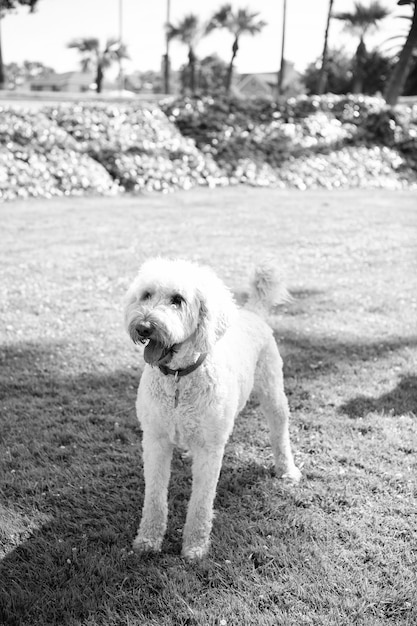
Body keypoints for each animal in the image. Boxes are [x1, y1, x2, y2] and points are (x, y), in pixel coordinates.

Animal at [123, 256, 300, 560]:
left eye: (178, 300)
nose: (144, 327)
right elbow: (155, 497)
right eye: (146, 295)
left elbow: (201, 503)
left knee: (280, 433)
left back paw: (287, 469)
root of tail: (251, 312)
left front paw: (195, 546)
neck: (178, 378)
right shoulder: (155, 439)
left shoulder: (210, 449)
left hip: (273, 393)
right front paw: (148, 539)